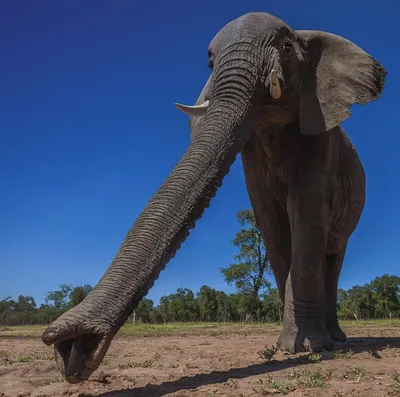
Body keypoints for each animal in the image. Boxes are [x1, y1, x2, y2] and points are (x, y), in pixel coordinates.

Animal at [41, 13, 388, 384]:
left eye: (286, 46)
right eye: (209, 63)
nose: (71, 350)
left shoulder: (319, 137)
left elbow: (305, 219)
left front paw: (310, 348)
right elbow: (272, 226)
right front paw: (288, 347)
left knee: (333, 257)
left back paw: (336, 339)